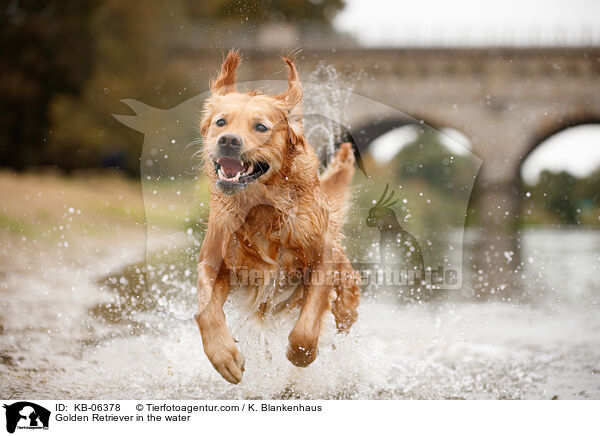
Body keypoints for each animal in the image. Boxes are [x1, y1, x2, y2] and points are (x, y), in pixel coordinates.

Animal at [196, 51, 360, 384]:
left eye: (261, 127)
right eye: (221, 122)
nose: (229, 140)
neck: (262, 209)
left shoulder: (322, 259)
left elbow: (306, 328)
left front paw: (300, 355)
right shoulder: (212, 260)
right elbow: (205, 310)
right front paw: (224, 356)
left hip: (347, 301)